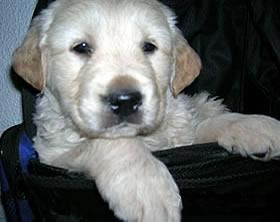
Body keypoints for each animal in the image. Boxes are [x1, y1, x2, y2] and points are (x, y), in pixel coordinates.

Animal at [11, 0, 280, 220]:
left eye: (149, 47)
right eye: (81, 47)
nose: (125, 101)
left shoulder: (183, 135)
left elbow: (207, 125)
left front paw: (258, 127)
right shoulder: (52, 153)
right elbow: (111, 144)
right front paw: (147, 190)